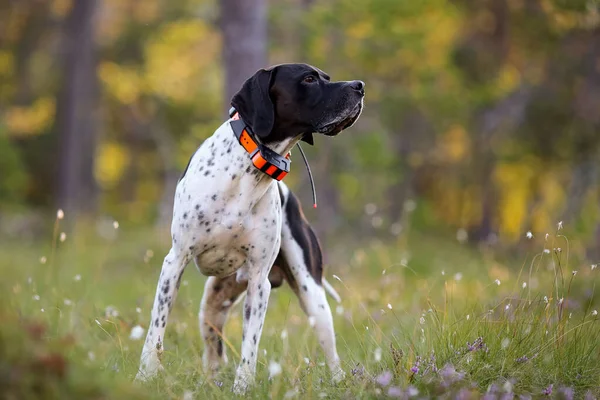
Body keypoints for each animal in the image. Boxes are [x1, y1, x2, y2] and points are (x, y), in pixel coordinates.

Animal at [136, 63, 364, 394]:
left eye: (327, 78)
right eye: (309, 79)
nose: (360, 86)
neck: (249, 167)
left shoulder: (259, 282)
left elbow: (250, 346)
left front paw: (242, 387)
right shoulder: (174, 263)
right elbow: (156, 330)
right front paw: (145, 376)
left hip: (312, 295)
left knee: (331, 352)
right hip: (211, 308)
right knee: (213, 353)